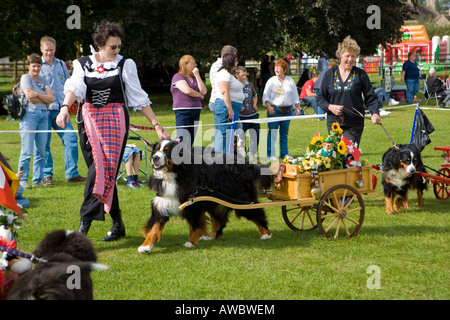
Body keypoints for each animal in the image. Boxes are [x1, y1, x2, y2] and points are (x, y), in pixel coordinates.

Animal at [137, 139, 272, 252]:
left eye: (167, 150)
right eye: (156, 149)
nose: (155, 157)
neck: (175, 174)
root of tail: (247, 163)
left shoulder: (193, 203)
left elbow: (195, 225)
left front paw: (191, 242)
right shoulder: (162, 202)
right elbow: (154, 228)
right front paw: (145, 246)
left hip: (241, 198)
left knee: (256, 212)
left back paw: (266, 233)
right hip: (217, 201)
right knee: (219, 219)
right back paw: (210, 236)